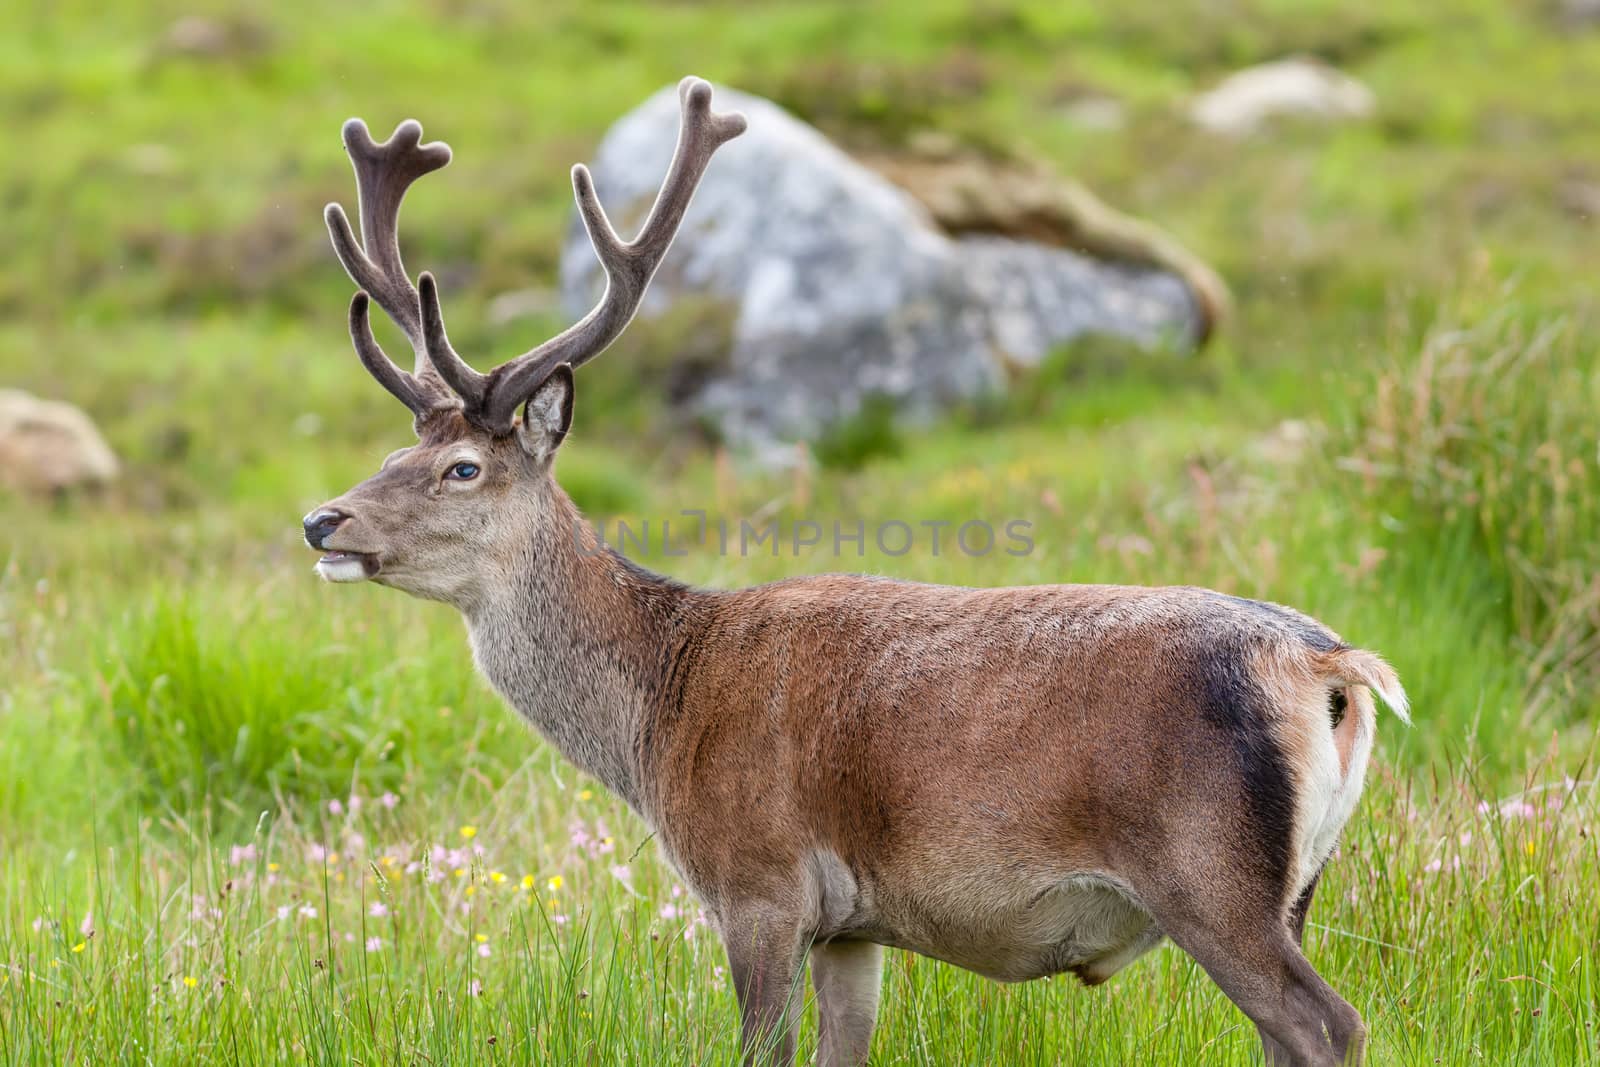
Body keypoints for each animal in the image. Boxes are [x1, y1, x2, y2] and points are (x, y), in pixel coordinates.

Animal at [302, 79, 1414, 1062]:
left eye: (462, 466)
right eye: (394, 449)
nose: (321, 519)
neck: (656, 717)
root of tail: (1332, 667)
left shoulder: (758, 882)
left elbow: (761, 1049)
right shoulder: (852, 924)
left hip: (1210, 873)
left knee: (1328, 1022)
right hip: (1297, 883)